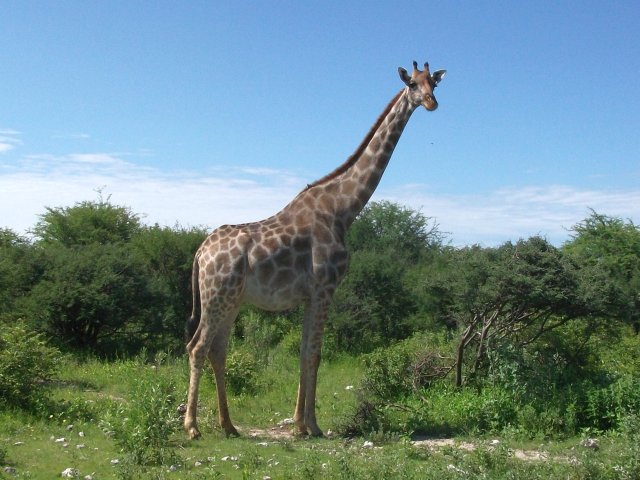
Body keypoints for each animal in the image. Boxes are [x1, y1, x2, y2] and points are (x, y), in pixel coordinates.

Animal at [184, 60, 444, 438]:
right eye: (412, 83)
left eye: (433, 84)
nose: (431, 102)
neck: (344, 209)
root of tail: (200, 254)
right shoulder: (325, 287)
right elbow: (314, 353)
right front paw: (313, 426)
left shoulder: (311, 294)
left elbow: (306, 352)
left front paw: (300, 425)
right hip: (217, 296)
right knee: (197, 347)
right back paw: (192, 427)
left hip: (231, 300)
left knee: (217, 350)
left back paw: (229, 426)